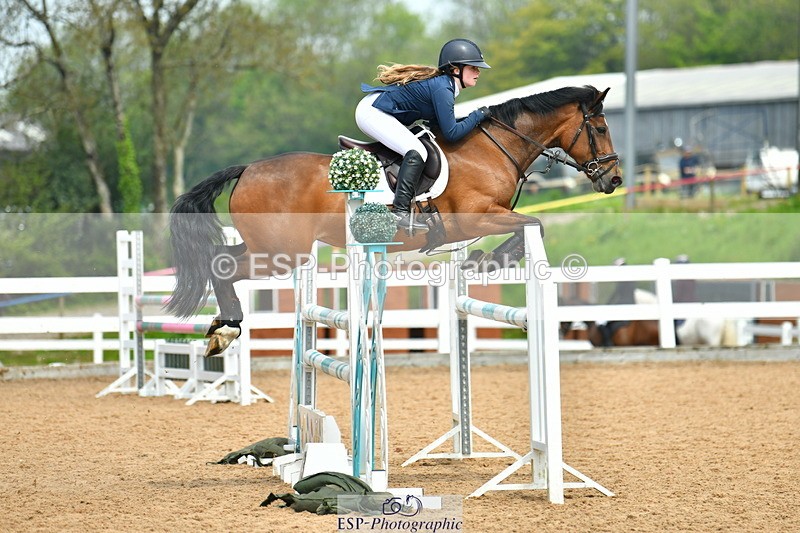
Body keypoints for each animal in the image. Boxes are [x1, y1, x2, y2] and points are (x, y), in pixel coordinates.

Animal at [167, 85, 622, 355]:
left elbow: (529, 225)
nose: (613, 179)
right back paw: (228, 329)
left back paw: (221, 327)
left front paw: (483, 262)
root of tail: (247, 169)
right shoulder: (476, 219)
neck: (493, 147)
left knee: (221, 258)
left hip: (268, 245)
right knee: (221, 266)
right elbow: (533, 225)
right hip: (282, 252)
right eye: (600, 127)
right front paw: (490, 262)